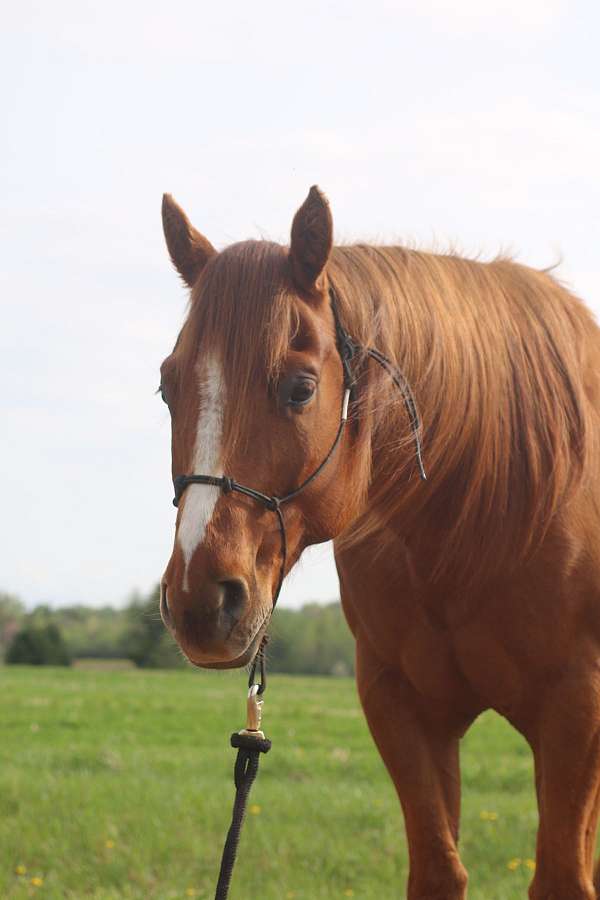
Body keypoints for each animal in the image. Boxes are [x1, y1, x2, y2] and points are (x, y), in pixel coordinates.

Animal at [158, 186, 600, 899]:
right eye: (168, 387)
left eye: (301, 388)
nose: (201, 601)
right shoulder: (401, 707)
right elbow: (439, 870)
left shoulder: (576, 709)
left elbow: (563, 875)